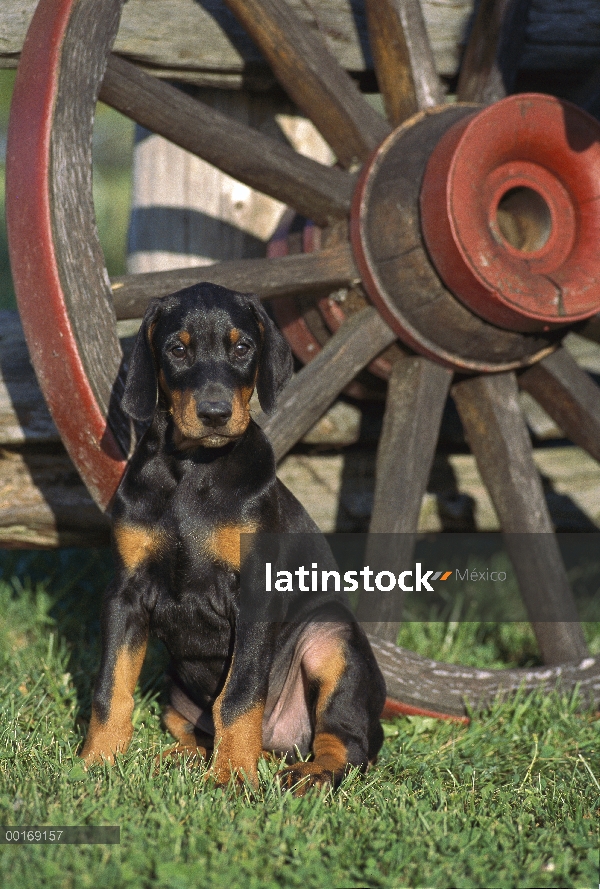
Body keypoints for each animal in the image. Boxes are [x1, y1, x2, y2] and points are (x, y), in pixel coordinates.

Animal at [81, 280, 384, 788]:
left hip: (331, 639)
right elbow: (112, 686)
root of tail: (279, 743)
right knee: (196, 731)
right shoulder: (124, 593)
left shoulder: (256, 593)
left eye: (243, 348)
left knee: (348, 743)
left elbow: (240, 694)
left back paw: (305, 775)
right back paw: (177, 759)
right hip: (176, 697)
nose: (215, 413)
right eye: (177, 350)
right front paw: (95, 763)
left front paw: (233, 778)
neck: (192, 467)